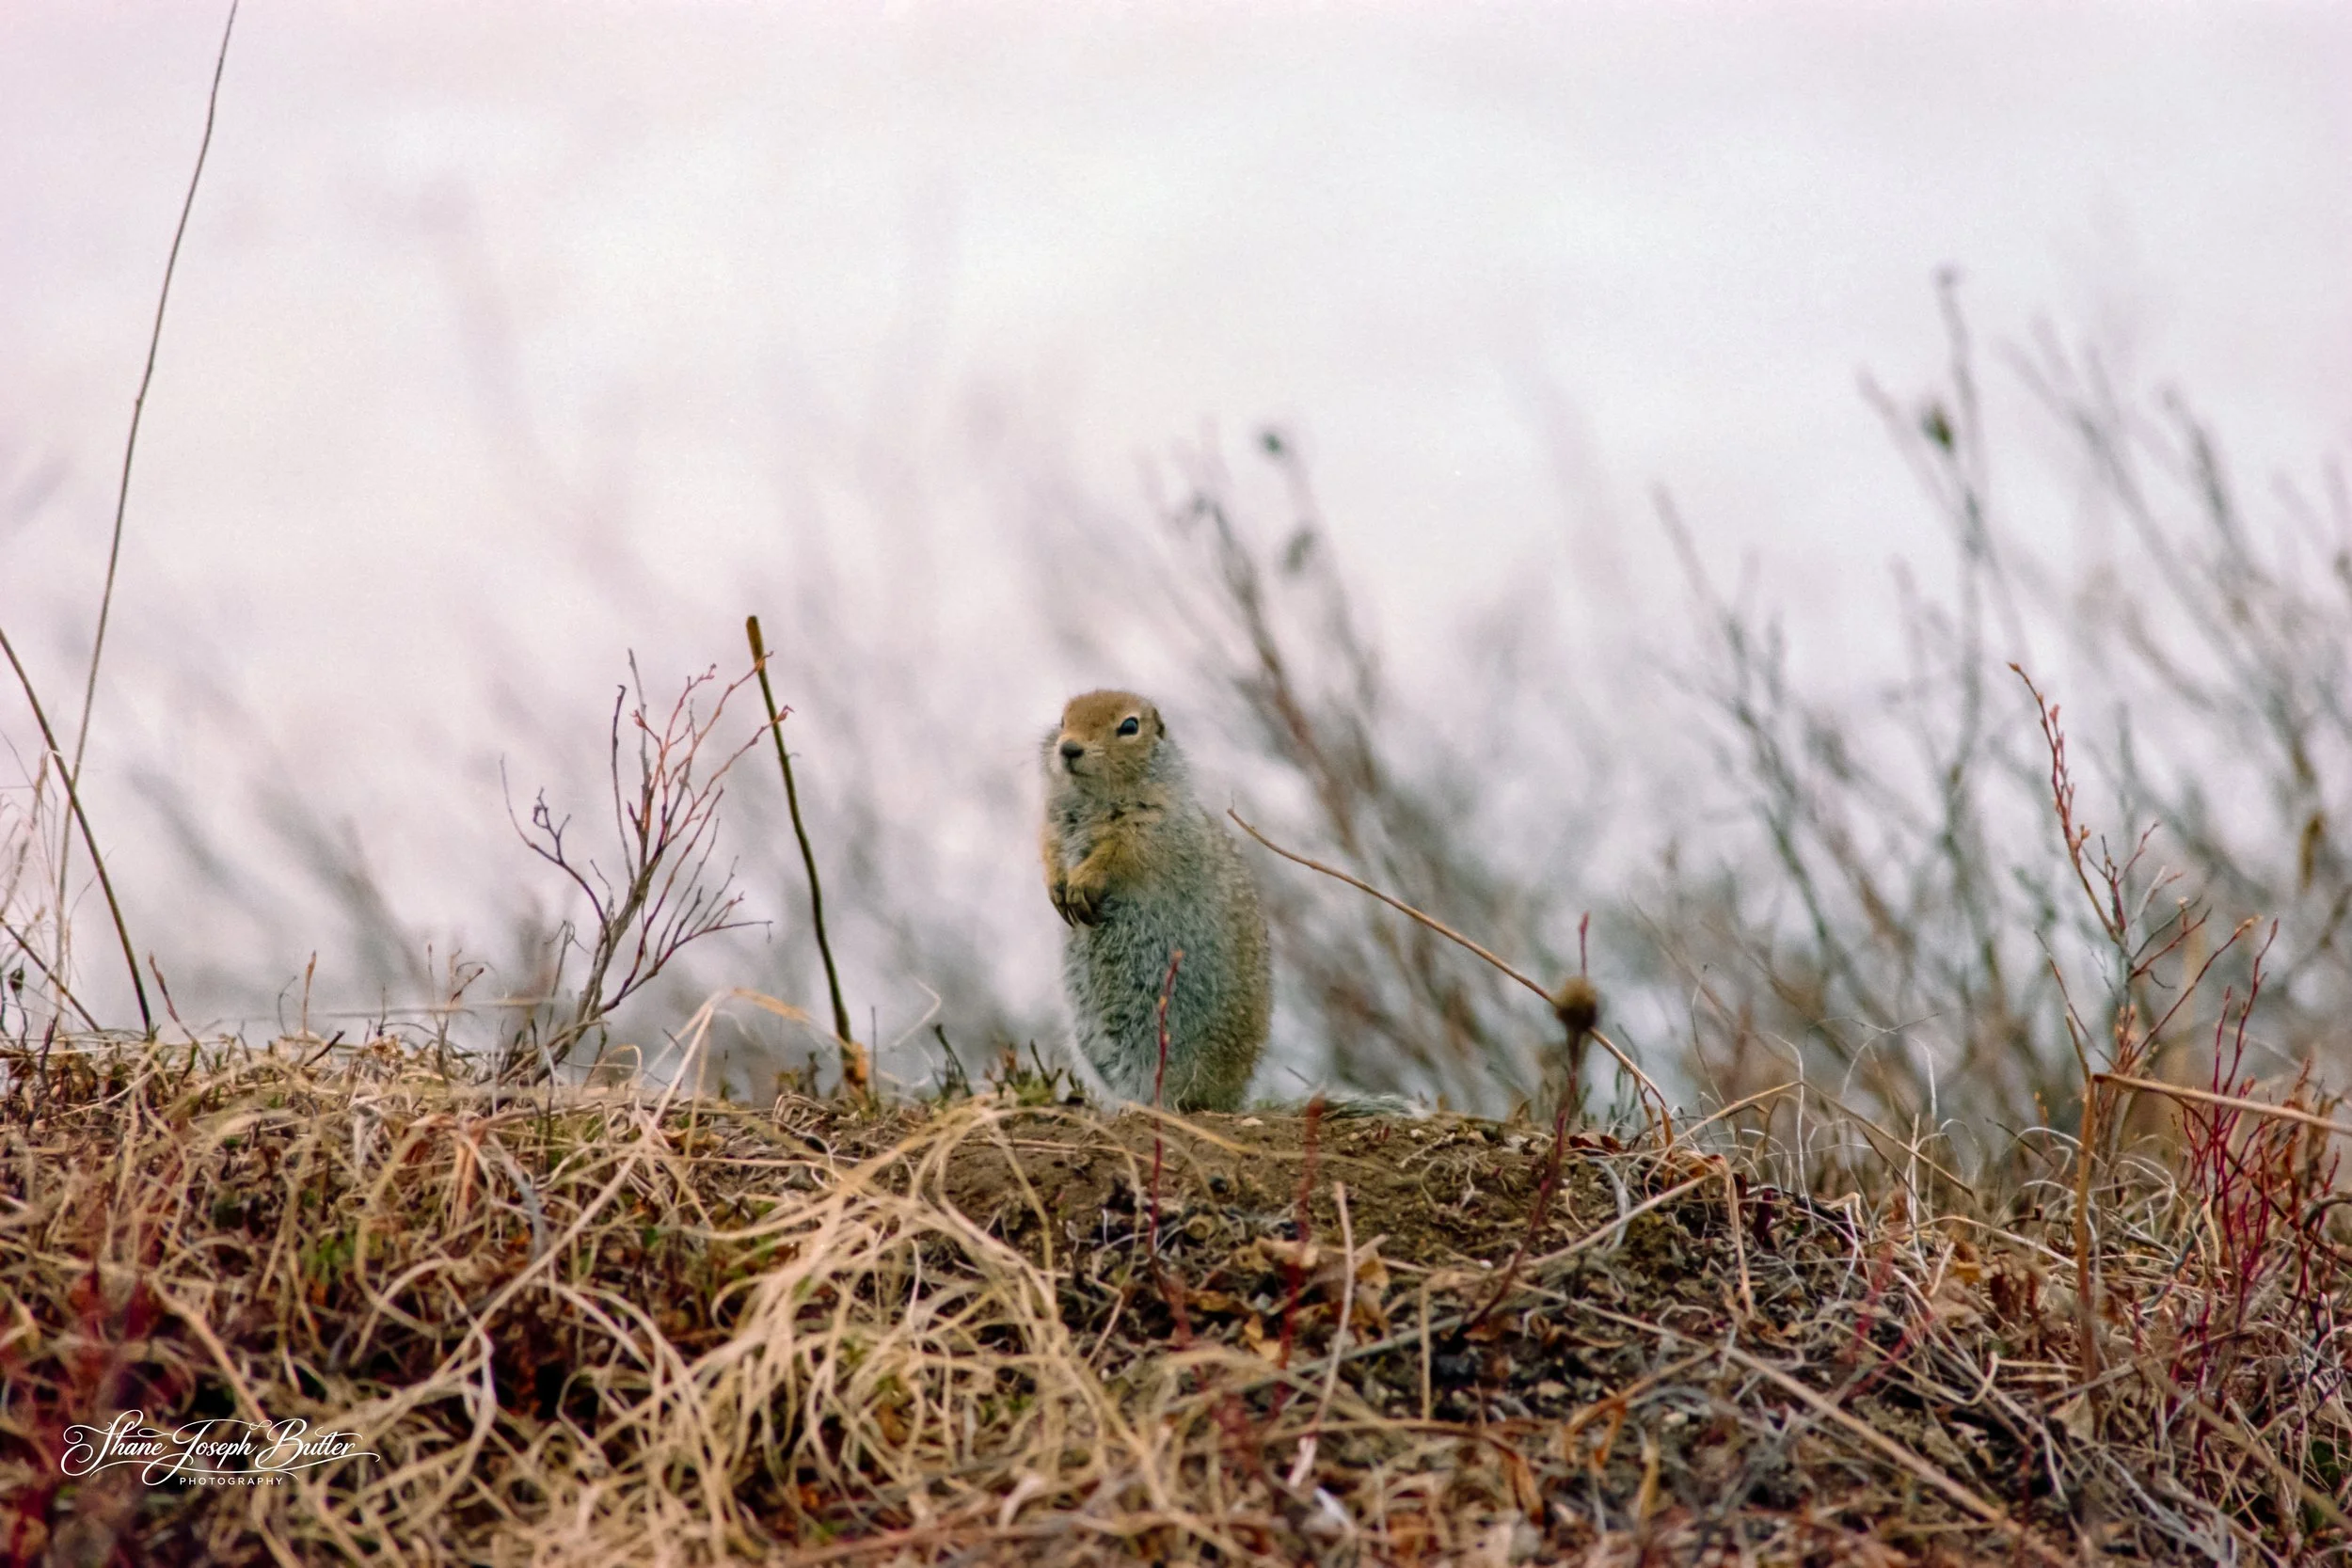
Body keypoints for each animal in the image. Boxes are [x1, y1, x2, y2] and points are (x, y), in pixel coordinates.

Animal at [1040, 690, 1271, 1112]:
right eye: (1062, 720)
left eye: (1130, 726)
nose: (1068, 748)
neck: (1094, 797)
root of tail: (1231, 1099)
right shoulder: (1051, 823)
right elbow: (1049, 850)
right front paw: (1057, 886)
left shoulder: (1150, 828)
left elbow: (1119, 854)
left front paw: (1082, 881)